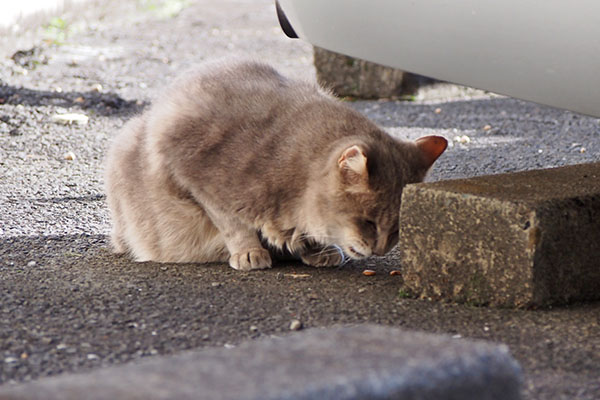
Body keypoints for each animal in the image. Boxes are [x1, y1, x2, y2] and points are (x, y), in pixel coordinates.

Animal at [106, 60, 446, 272]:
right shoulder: (194, 174)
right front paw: (249, 252)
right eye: (368, 223)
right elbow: (233, 223)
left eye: (398, 229)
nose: (380, 250)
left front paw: (313, 250)